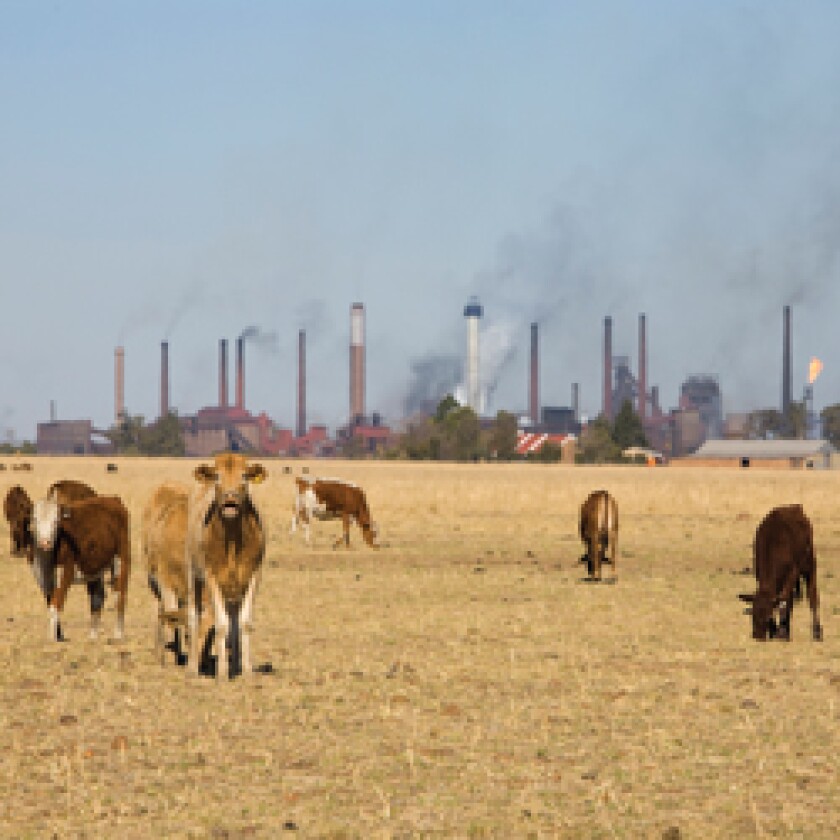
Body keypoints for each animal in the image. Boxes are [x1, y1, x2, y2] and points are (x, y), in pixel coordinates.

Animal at [45, 495, 131, 641]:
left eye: (56, 521)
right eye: (34, 520)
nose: (45, 542)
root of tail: (114, 499)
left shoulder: (67, 570)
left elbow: (57, 601)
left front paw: (54, 638)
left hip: (122, 560)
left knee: (120, 595)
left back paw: (118, 634)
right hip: (96, 567)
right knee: (98, 597)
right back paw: (93, 635)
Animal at [185, 453, 267, 680]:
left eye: (244, 476)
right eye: (217, 476)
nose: (230, 499)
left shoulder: (253, 575)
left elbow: (243, 623)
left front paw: (246, 670)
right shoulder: (211, 576)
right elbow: (220, 625)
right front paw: (221, 672)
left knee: (234, 619)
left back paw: (235, 664)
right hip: (193, 575)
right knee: (194, 616)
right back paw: (192, 667)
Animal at [739, 504, 822, 642]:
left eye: (767, 618)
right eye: (753, 616)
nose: (758, 636)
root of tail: (795, 507)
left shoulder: (792, 574)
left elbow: (784, 601)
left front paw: (782, 633)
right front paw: (776, 631)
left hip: (810, 565)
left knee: (812, 596)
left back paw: (816, 632)